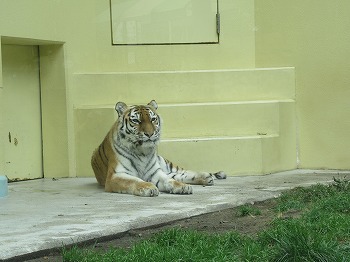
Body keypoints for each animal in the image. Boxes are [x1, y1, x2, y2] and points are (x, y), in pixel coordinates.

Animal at [91, 100, 227, 196]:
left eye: (153, 119)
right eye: (136, 121)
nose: (150, 134)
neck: (142, 152)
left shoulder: (155, 172)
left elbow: (169, 180)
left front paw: (182, 186)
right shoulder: (116, 175)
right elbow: (134, 180)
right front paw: (149, 187)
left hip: (165, 164)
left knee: (181, 172)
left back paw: (206, 176)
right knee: (176, 175)